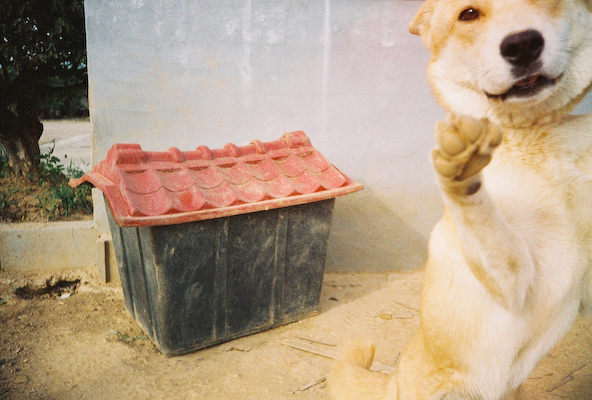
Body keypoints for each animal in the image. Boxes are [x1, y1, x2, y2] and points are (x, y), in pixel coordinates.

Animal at [326, 0, 592, 398]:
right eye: (468, 14)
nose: (523, 45)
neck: (537, 137)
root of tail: (394, 380)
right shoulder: (518, 282)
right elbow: (480, 212)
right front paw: (461, 167)